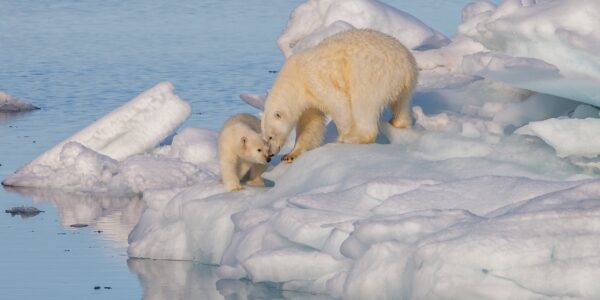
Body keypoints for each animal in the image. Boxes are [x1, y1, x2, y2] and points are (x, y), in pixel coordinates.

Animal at [262, 28, 418, 162]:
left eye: (270, 137)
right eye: (264, 137)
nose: (270, 154)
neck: (295, 79)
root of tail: (406, 65)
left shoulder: (316, 81)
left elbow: (339, 105)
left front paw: (345, 134)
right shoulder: (308, 100)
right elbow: (310, 124)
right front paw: (291, 154)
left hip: (371, 75)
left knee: (364, 105)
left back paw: (352, 138)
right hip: (403, 85)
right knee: (401, 104)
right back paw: (398, 122)